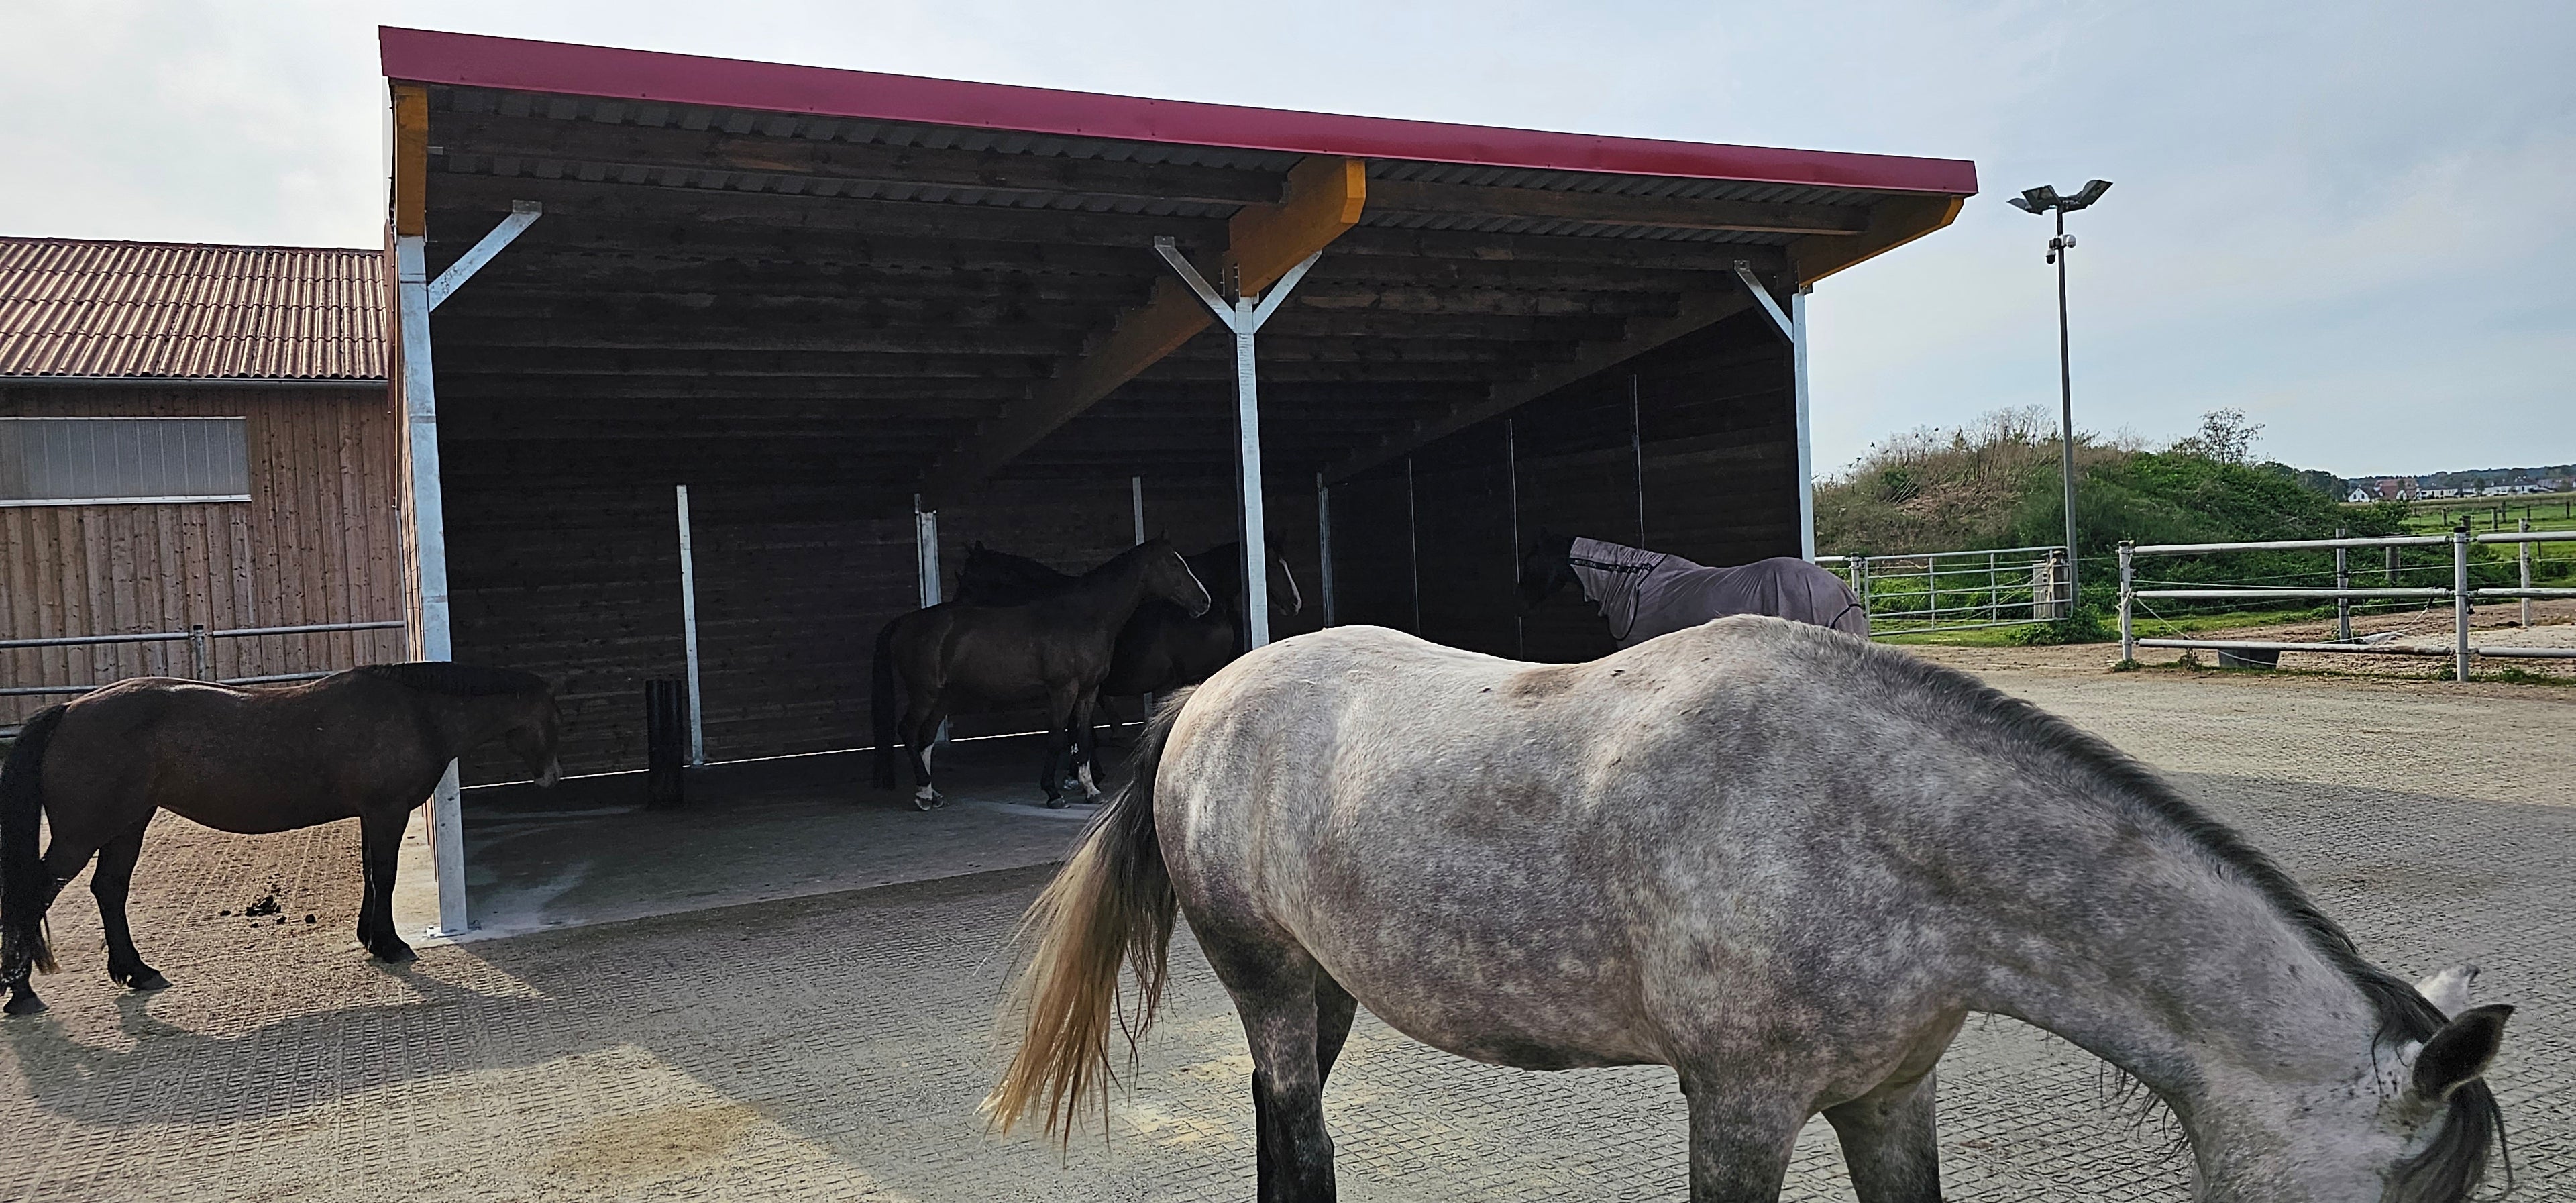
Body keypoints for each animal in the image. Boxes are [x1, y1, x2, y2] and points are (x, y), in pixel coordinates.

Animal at [0, 662, 562, 1016]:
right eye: (553, 715)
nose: (552, 777)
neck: (415, 710)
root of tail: (70, 710)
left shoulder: (372, 814)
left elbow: (370, 873)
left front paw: (370, 938)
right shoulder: (387, 812)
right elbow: (384, 873)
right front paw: (391, 944)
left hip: (128, 824)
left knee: (109, 890)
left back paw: (136, 971)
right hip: (84, 834)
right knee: (34, 894)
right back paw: (22, 993)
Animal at [870, 538, 1209, 811]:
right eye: (1172, 564)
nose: (1204, 601)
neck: (1084, 617)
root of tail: (904, 622)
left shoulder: (1089, 691)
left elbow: (1082, 737)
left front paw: (1090, 788)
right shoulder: (1063, 690)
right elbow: (1058, 737)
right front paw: (1053, 793)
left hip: (942, 697)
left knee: (926, 737)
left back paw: (931, 792)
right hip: (925, 694)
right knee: (908, 731)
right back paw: (924, 795)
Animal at [985, 618, 2509, 1202]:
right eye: (2402, 1191)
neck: (1875, 832)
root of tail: (1206, 696)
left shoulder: (1891, 1093)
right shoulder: (1742, 1102)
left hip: (1326, 983)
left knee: (1276, 1115)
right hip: (1264, 972)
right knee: (1298, 1130)